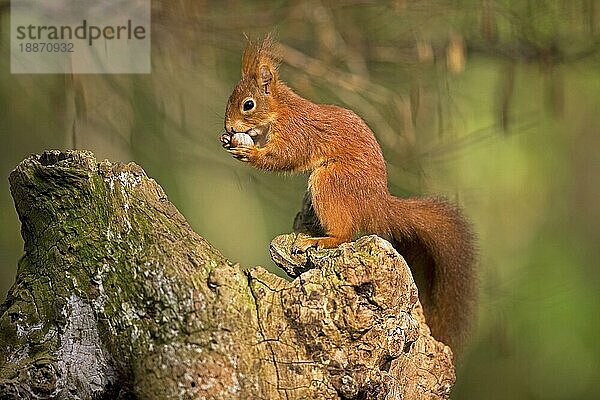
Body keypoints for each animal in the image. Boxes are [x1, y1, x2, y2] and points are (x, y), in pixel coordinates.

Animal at [218, 36, 476, 350]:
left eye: (248, 105)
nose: (229, 127)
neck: (282, 109)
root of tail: (378, 205)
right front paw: (229, 140)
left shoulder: (297, 132)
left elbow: (285, 157)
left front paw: (249, 152)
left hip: (330, 182)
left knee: (345, 234)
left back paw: (321, 240)